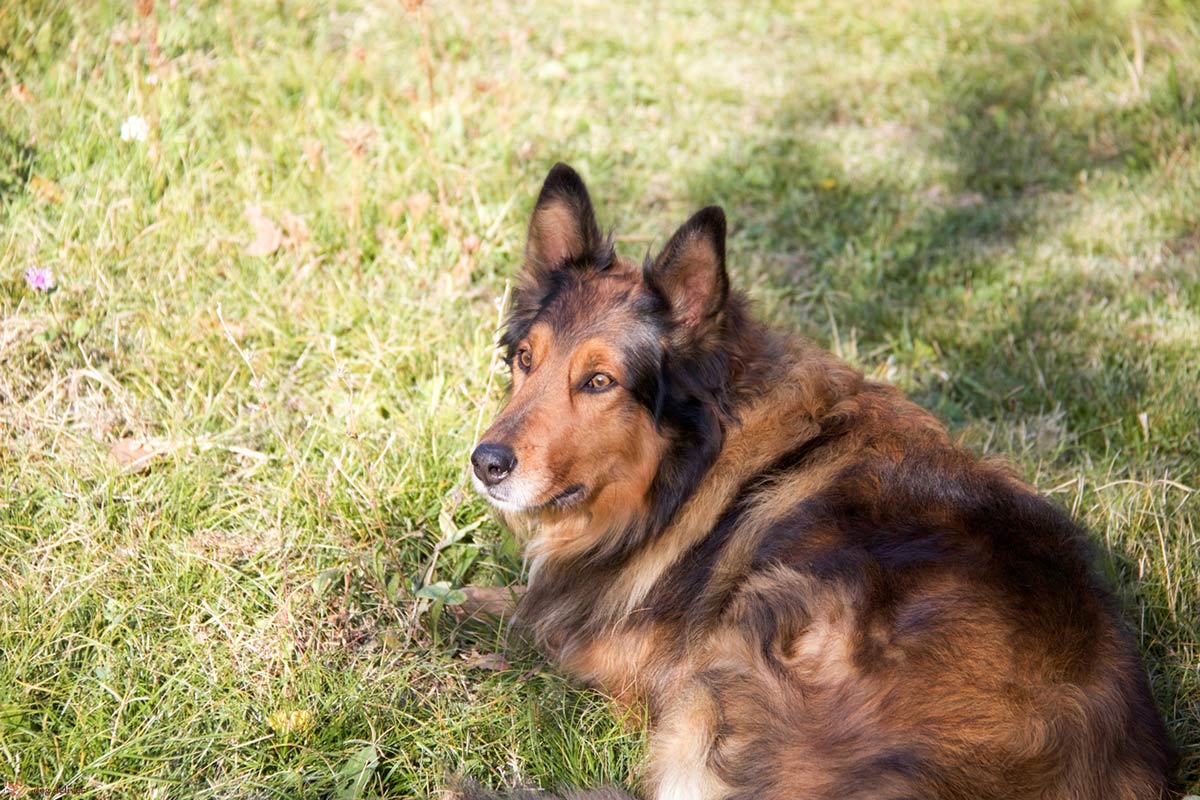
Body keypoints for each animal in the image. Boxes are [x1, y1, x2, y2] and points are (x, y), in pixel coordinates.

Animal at [463, 163, 1176, 800]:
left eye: (599, 381)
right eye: (525, 360)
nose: (486, 462)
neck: (694, 466)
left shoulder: (611, 658)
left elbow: (519, 617)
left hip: (735, 652)